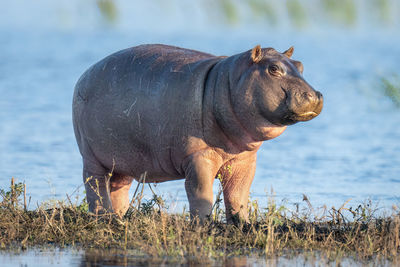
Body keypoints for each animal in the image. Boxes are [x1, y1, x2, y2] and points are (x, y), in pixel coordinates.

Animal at [72, 44, 322, 223]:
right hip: (91, 157)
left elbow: (239, 194)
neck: (226, 83)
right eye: (273, 69)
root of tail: (84, 75)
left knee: (118, 187)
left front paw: (243, 224)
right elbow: (200, 192)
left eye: (299, 65)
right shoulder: (199, 156)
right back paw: (104, 218)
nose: (316, 95)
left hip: (123, 161)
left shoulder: (245, 160)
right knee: (95, 186)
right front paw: (203, 224)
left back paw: (119, 217)